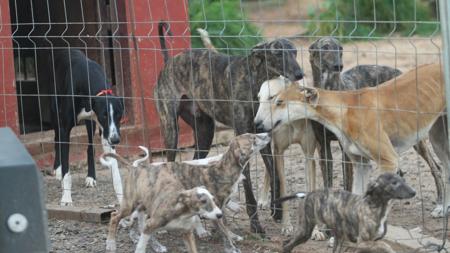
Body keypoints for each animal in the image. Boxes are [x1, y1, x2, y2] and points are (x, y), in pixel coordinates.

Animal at [48, 49, 123, 206]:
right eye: (104, 115)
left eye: (119, 114)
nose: (116, 140)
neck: (88, 76)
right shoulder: (65, 127)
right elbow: (67, 171)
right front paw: (66, 198)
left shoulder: (106, 130)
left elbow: (115, 172)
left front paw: (122, 198)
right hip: (54, 110)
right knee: (56, 137)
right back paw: (57, 169)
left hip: (91, 123)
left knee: (90, 146)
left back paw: (91, 177)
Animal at [153, 22, 304, 233]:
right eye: (278, 53)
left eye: (294, 52)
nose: (300, 74)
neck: (254, 79)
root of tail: (169, 61)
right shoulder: (243, 142)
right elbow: (249, 189)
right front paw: (256, 225)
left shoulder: (263, 138)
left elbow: (274, 173)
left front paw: (277, 211)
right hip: (171, 131)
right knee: (170, 161)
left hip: (205, 133)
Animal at [255, 63, 448, 215]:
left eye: (278, 101)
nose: (257, 124)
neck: (346, 109)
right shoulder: (361, 164)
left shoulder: (389, 160)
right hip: (438, 140)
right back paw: (443, 208)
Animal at [280, 173, 416, 253]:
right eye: (394, 183)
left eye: (403, 180)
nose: (414, 192)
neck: (375, 207)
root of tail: (306, 194)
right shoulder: (362, 242)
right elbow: (384, 245)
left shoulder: (363, 245)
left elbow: (381, 244)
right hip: (305, 231)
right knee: (287, 246)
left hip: (337, 238)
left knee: (287, 244)